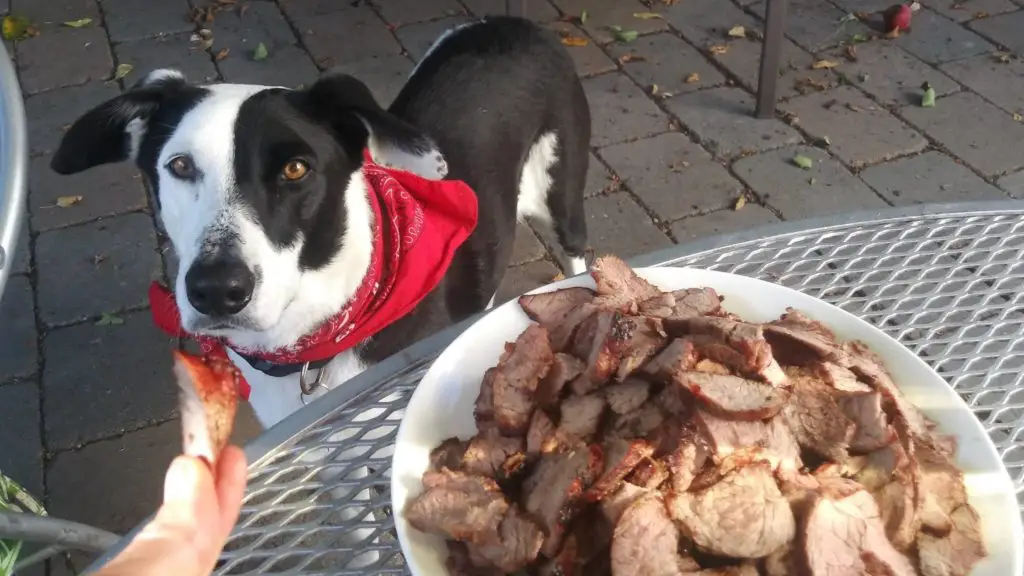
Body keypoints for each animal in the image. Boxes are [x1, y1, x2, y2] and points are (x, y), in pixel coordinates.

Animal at [49, 16, 593, 426]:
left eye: (296, 168)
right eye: (180, 166)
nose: (217, 290)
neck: (307, 345)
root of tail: (514, 23)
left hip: (560, 200)